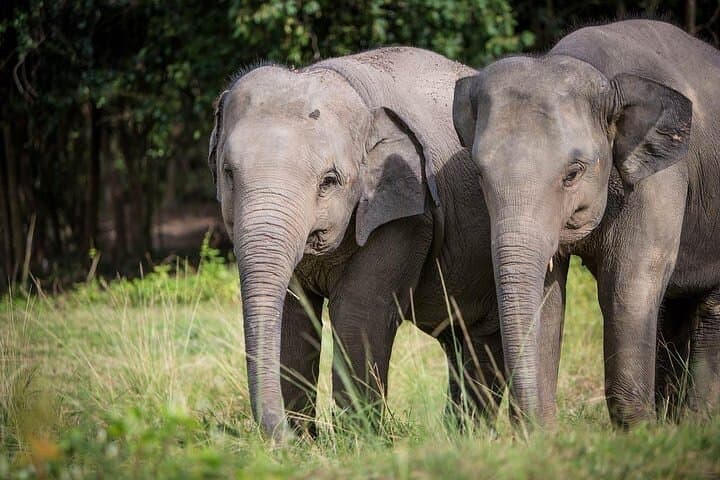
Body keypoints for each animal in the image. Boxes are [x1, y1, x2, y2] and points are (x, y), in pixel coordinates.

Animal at [208, 47, 566, 439]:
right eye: (228, 172)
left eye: (329, 180)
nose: (281, 436)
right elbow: (293, 315)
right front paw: (302, 442)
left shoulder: (407, 215)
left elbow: (357, 312)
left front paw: (358, 440)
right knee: (471, 343)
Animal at [452, 19, 720, 428]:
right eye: (480, 173)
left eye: (573, 173)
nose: (527, 425)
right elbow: (548, 295)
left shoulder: (662, 176)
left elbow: (630, 282)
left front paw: (639, 433)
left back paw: (693, 424)